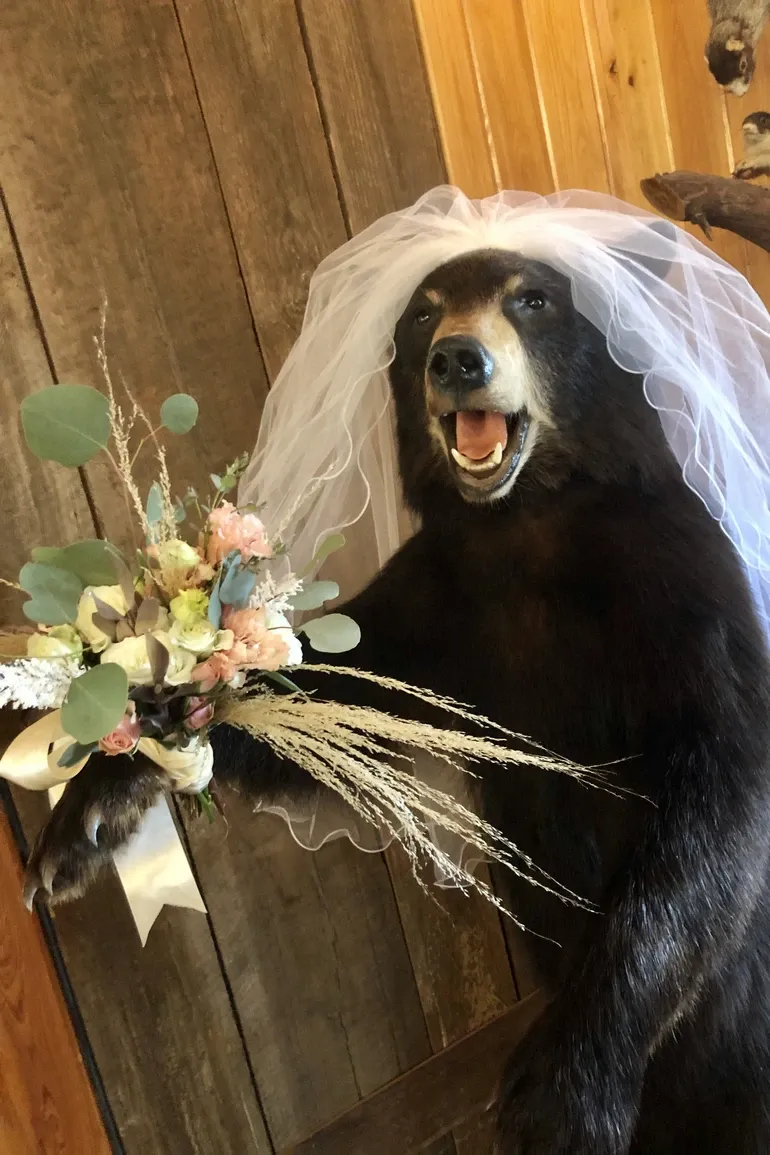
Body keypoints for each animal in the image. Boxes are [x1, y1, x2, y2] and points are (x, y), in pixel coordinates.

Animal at [27, 245, 770, 1155]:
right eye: (424, 310)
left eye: (533, 300)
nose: (458, 358)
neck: (527, 526)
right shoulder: (443, 605)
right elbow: (325, 706)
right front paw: (101, 793)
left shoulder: (679, 594)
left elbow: (712, 805)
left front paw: (566, 1086)